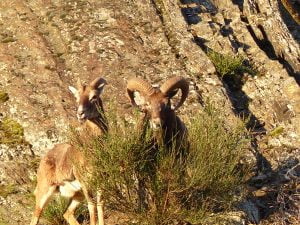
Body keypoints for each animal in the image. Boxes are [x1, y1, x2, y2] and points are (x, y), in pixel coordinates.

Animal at [29, 77, 108, 225]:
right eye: (77, 97)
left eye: (94, 96)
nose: (80, 113)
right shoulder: (86, 183)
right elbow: (92, 206)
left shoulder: (101, 182)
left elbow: (100, 205)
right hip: (45, 193)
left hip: (77, 195)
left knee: (67, 214)